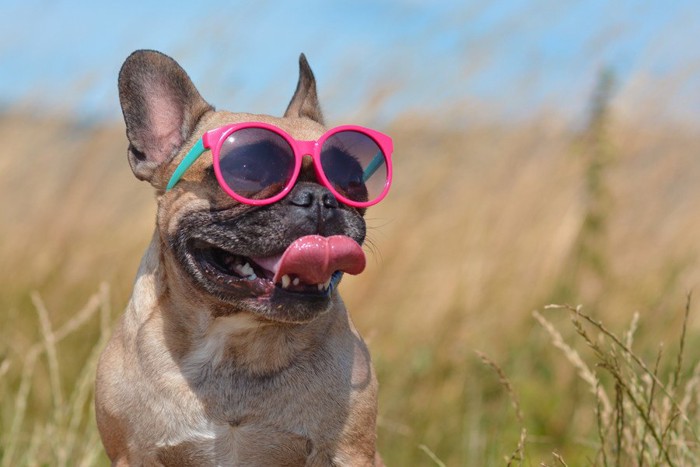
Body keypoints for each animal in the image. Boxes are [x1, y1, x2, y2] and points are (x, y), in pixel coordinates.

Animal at [93, 49, 392, 466]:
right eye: (248, 170)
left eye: (352, 181)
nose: (320, 197)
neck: (238, 338)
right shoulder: (133, 454)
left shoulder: (350, 452)